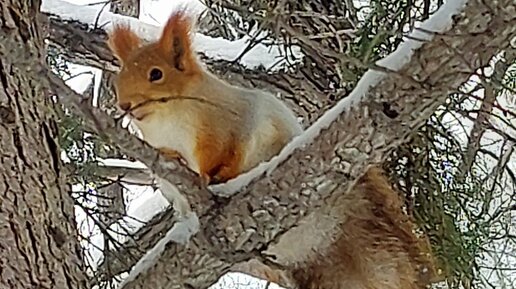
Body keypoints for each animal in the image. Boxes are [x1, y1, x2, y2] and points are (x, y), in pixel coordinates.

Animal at [108, 11, 302, 212]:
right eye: (120, 77)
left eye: (156, 74)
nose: (124, 105)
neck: (165, 119)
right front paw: (173, 155)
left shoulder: (226, 128)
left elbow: (224, 153)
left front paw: (207, 174)